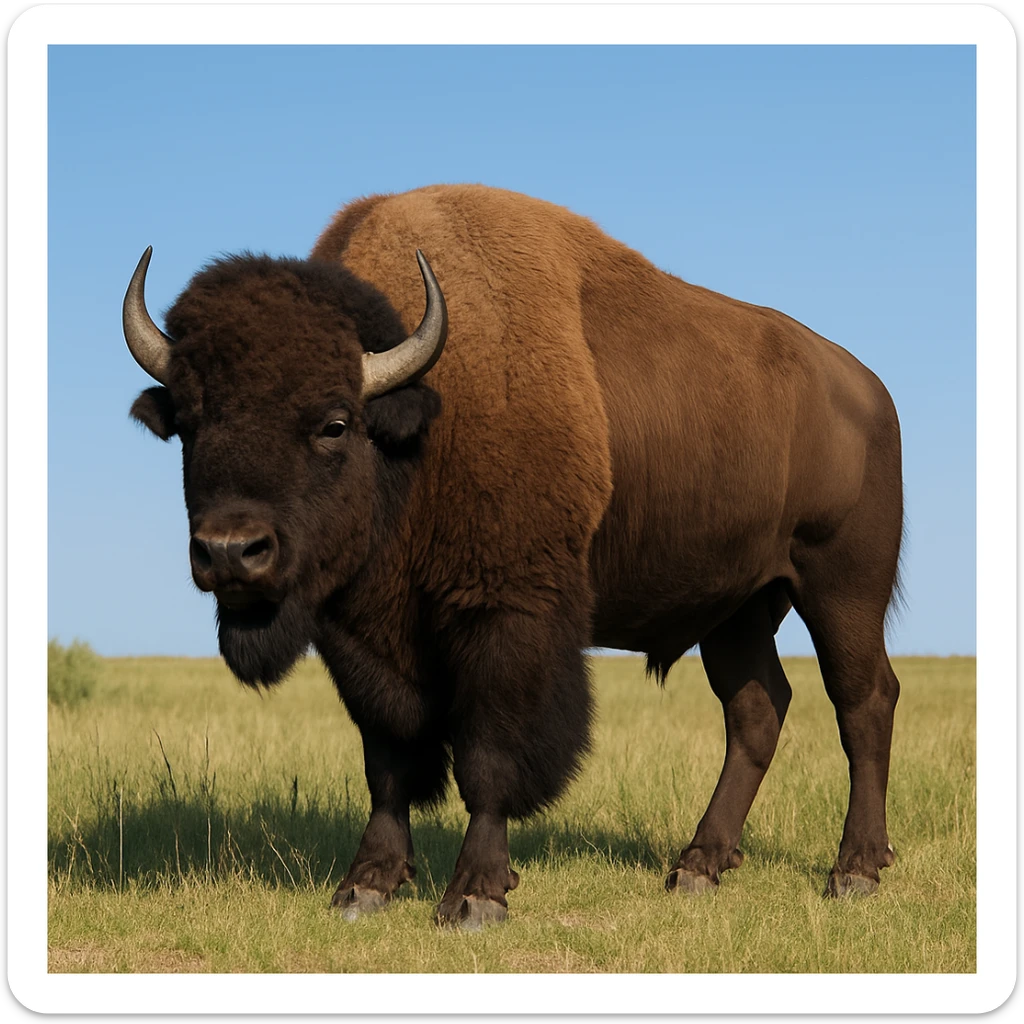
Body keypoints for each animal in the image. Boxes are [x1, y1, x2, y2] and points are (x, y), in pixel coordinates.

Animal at [124, 185, 903, 928]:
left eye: (334, 423)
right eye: (189, 423)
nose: (230, 552)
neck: (422, 427)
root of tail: (867, 388)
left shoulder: (506, 616)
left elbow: (488, 755)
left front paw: (475, 896)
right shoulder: (359, 637)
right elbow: (388, 759)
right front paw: (366, 885)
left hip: (841, 587)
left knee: (863, 700)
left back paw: (856, 872)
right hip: (736, 608)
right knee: (756, 710)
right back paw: (697, 867)